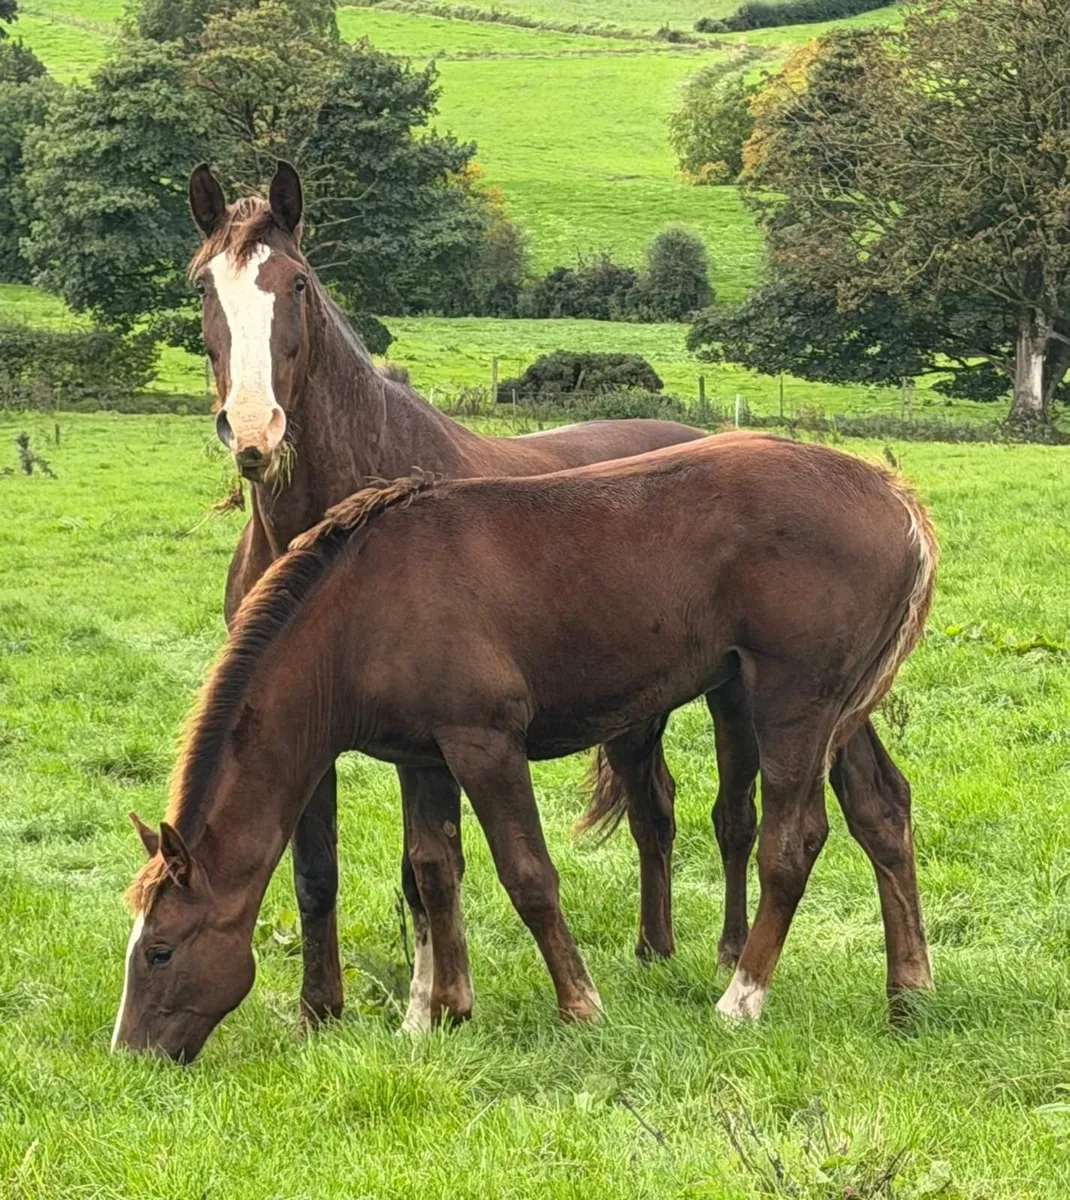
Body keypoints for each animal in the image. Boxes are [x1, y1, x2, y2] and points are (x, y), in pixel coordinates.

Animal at [112, 433, 937, 1062]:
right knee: (881, 811)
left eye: (160, 950)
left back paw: (741, 998)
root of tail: (892, 496)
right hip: (836, 711)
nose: (130, 1057)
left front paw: (580, 1006)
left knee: (793, 841)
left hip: (791, 704)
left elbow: (528, 876)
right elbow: (432, 872)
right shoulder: (427, 758)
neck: (365, 608)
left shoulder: (485, 745)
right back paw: (910, 989)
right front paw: (435, 1014)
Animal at [184, 160, 711, 1032]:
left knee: (655, 811)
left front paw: (428, 1007)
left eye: (297, 283)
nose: (253, 431)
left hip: (643, 709)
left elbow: (426, 866)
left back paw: (657, 952)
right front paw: (322, 1009)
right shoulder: (296, 712)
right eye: (203, 289)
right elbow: (317, 871)